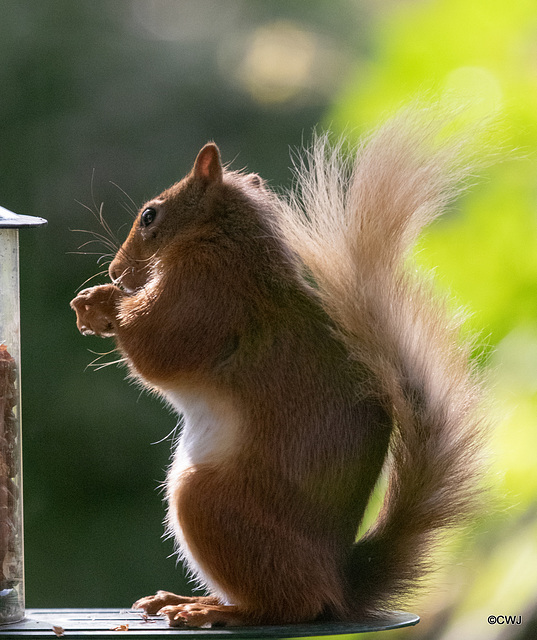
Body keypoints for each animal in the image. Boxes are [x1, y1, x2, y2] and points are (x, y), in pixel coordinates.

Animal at [70, 107, 486, 628]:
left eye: (150, 215)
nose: (114, 272)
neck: (226, 238)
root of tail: (338, 584)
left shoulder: (205, 294)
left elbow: (157, 352)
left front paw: (101, 303)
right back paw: (181, 600)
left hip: (212, 505)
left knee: (290, 605)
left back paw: (211, 610)